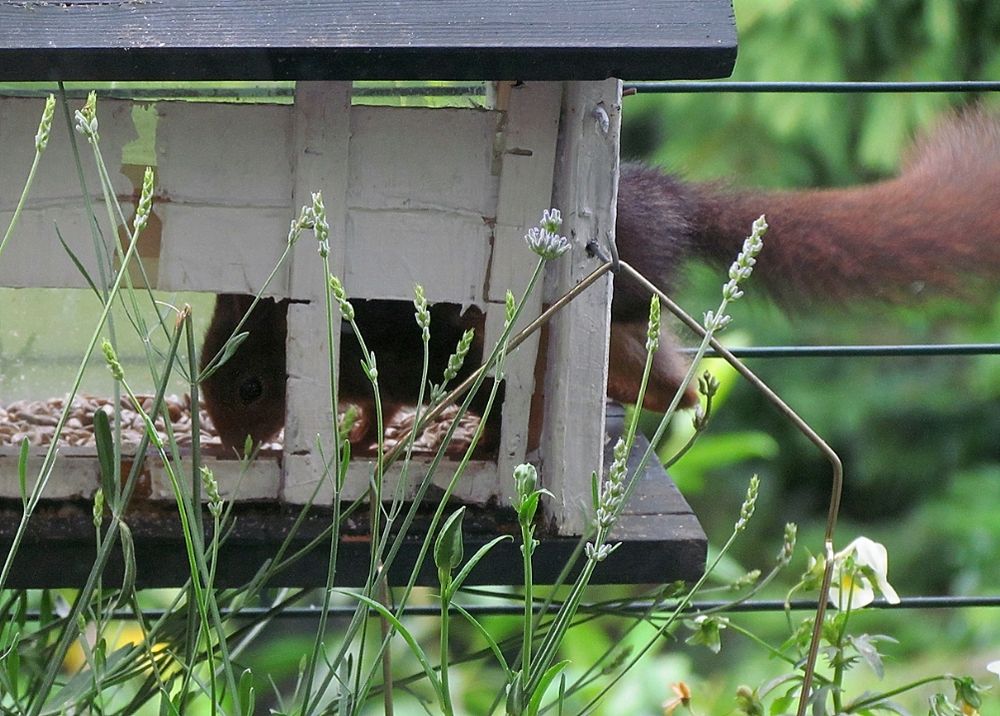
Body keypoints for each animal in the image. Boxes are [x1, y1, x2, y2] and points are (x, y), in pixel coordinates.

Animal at [199, 107, 1000, 450]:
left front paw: (365, 445)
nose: (231, 448)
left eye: (253, 388)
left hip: (605, 311)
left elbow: (381, 407)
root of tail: (664, 204)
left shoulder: (391, 360)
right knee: (669, 373)